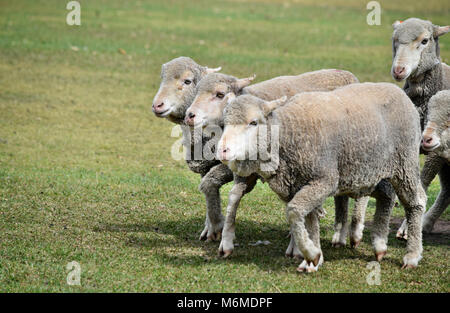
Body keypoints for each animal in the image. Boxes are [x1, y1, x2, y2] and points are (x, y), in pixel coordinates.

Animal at [153, 56, 234, 241]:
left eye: (187, 81)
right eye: (162, 78)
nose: (157, 105)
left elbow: (209, 184)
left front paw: (217, 226)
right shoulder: (206, 166)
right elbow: (208, 191)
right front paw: (209, 229)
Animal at [183, 71, 370, 258]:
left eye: (220, 94)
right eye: (196, 91)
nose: (189, 115)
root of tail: (345, 73)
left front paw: (297, 247)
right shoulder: (247, 173)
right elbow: (232, 197)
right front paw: (223, 237)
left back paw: (354, 232)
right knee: (342, 196)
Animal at [217, 83, 426, 270]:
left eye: (253, 123)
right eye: (224, 124)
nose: (222, 151)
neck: (287, 133)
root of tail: (400, 92)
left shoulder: (324, 180)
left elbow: (294, 212)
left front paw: (311, 254)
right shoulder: (301, 183)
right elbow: (309, 220)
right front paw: (312, 256)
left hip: (405, 163)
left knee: (416, 203)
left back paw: (412, 255)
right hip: (375, 170)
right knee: (387, 196)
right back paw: (380, 245)